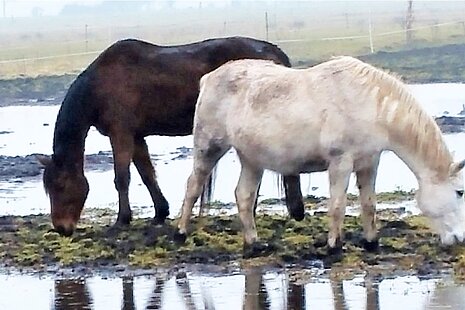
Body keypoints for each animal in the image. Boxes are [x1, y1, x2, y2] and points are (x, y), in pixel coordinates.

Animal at [38, 36, 302, 236]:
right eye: (48, 188)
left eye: (60, 185)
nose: (62, 228)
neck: (101, 84)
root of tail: (274, 53)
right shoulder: (136, 137)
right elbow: (147, 174)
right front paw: (159, 213)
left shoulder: (121, 133)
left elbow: (122, 177)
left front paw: (122, 219)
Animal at [177, 57, 464, 253]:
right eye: (460, 192)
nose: (460, 239)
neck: (368, 104)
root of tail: (209, 78)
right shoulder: (340, 162)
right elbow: (337, 206)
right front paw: (333, 247)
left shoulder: (369, 163)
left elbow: (369, 204)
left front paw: (372, 243)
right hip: (209, 148)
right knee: (193, 186)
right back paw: (180, 232)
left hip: (251, 159)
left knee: (244, 196)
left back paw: (254, 244)